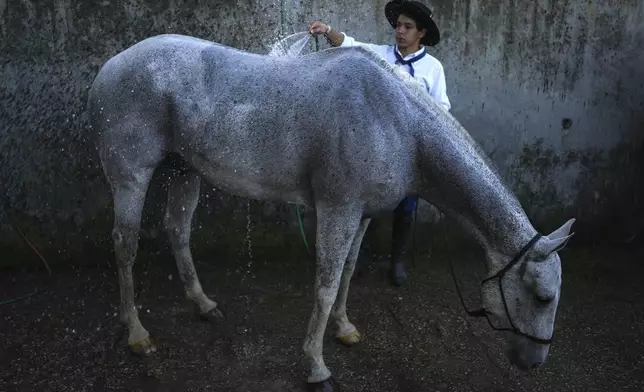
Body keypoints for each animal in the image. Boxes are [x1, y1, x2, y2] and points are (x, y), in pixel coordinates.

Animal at [85, 34, 572, 392]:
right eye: (542, 297)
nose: (534, 362)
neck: (396, 123)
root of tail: (112, 65)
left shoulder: (363, 214)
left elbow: (350, 270)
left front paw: (344, 329)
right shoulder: (338, 209)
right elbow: (326, 281)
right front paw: (317, 368)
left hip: (184, 170)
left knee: (178, 231)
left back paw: (204, 305)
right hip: (132, 176)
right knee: (125, 246)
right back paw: (137, 335)